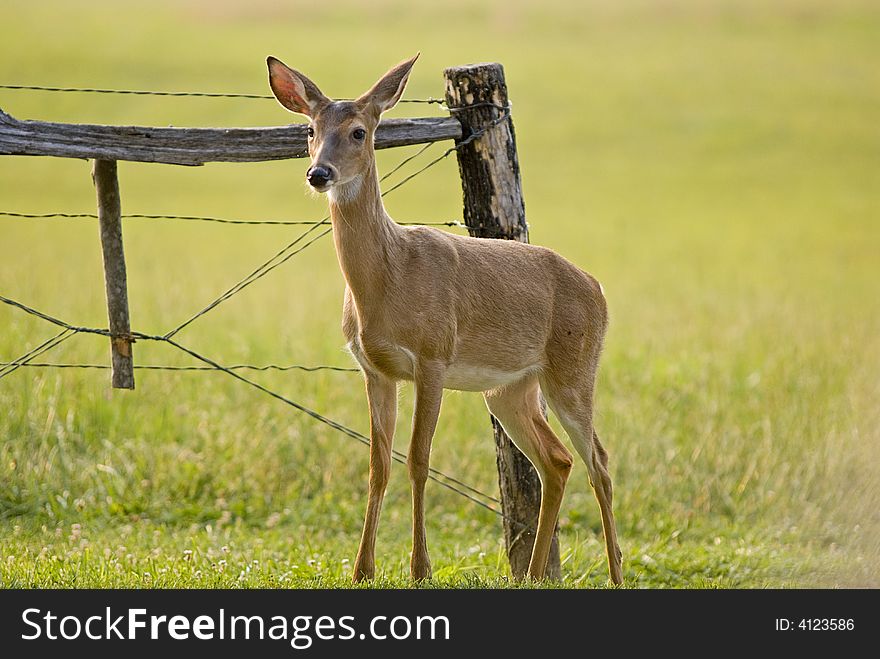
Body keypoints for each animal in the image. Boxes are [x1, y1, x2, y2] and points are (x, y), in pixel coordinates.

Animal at [264, 54, 624, 584]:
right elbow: (378, 465)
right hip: (510, 390)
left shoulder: (432, 357)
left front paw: (420, 568)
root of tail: (598, 289)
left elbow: (418, 459)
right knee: (557, 461)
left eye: (359, 131)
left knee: (598, 459)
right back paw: (534, 574)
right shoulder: (375, 370)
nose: (318, 173)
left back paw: (615, 572)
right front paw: (362, 570)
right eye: (310, 129)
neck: (388, 278)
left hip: (573, 370)